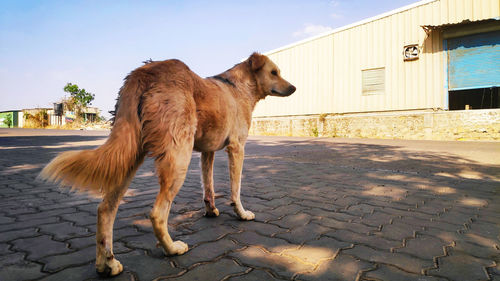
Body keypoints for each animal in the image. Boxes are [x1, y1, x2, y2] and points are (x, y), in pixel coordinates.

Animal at [41, 52, 296, 276]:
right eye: (274, 72)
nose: (293, 88)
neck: (239, 86)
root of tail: (145, 71)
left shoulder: (207, 152)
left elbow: (208, 186)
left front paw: (211, 210)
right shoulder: (237, 148)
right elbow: (236, 189)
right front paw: (241, 213)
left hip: (129, 156)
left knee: (105, 209)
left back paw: (107, 264)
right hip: (178, 158)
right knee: (157, 213)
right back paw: (172, 248)